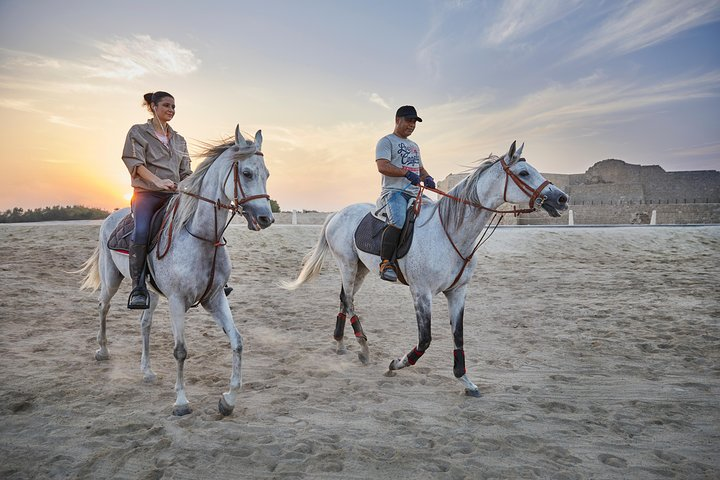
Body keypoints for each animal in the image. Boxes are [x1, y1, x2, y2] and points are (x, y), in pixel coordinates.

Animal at [77, 127, 272, 416]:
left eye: (266, 174)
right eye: (247, 173)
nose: (266, 218)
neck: (201, 237)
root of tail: (111, 217)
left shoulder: (215, 298)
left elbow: (237, 341)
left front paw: (228, 399)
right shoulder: (178, 301)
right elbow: (180, 350)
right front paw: (181, 402)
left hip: (150, 293)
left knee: (144, 323)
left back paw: (147, 371)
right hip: (112, 279)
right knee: (103, 306)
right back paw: (102, 351)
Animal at [282, 141, 568, 396]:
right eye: (524, 173)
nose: (562, 199)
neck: (450, 233)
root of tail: (337, 213)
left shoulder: (458, 292)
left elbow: (458, 336)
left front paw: (465, 380)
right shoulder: (421, 293)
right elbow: (425, 339)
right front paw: (395, 364)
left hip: (360, 268)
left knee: (344, 298)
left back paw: (341, 344)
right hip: (348, 264)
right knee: (350, 301)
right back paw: (363, 348)